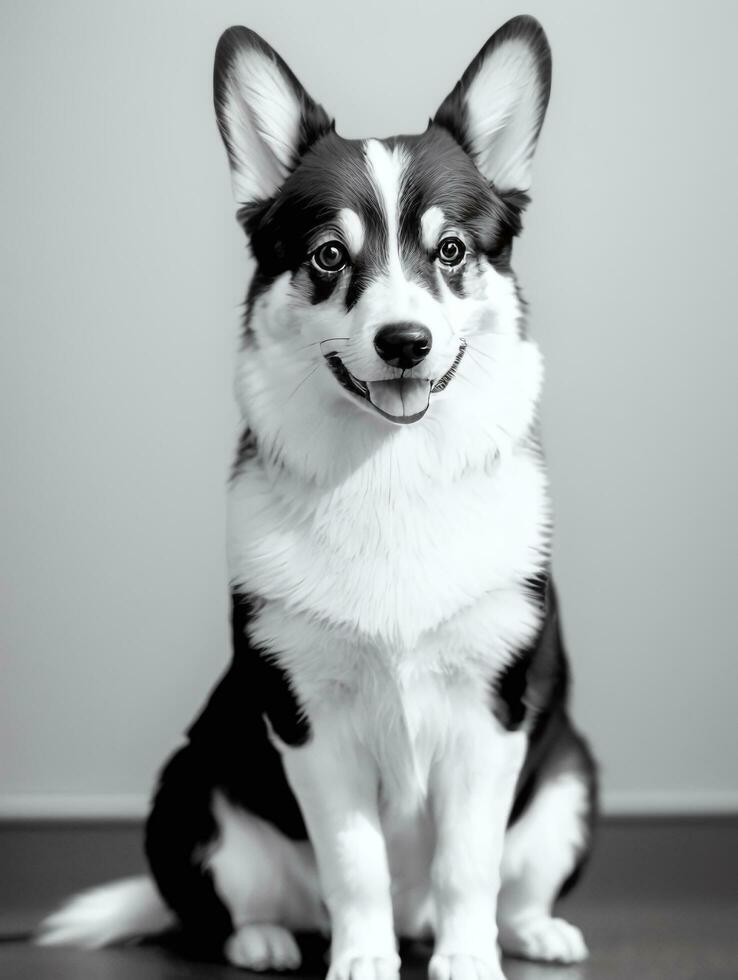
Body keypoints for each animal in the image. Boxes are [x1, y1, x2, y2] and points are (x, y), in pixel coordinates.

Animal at [37, 15, 596, 980]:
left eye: (452, 251)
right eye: (328, 257)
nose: (404, 342)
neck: (390, 471)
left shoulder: (493, 719)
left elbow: (467, 863)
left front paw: (467, 959)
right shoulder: (308, 722)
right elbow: (354, 863)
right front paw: (362, 960)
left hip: (569, 776)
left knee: (514, 882)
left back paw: (530, 930)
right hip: (190, 785)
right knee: (222, 907)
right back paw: (266, 939)